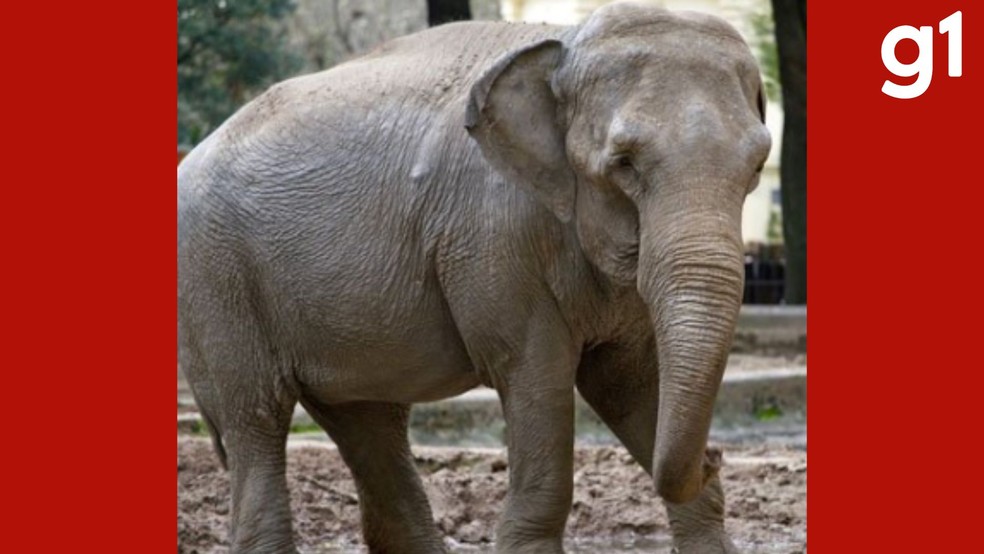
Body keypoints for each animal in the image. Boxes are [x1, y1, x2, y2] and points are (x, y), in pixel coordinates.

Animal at [177, 3, 771, 553]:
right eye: (623, 163)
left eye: (758, 165)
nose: (717, 455)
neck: (563, 42)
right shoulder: (492, 239)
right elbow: (536, 374)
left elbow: (627, 382)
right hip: (215, 281)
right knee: (255, 418)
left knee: (369, 424)